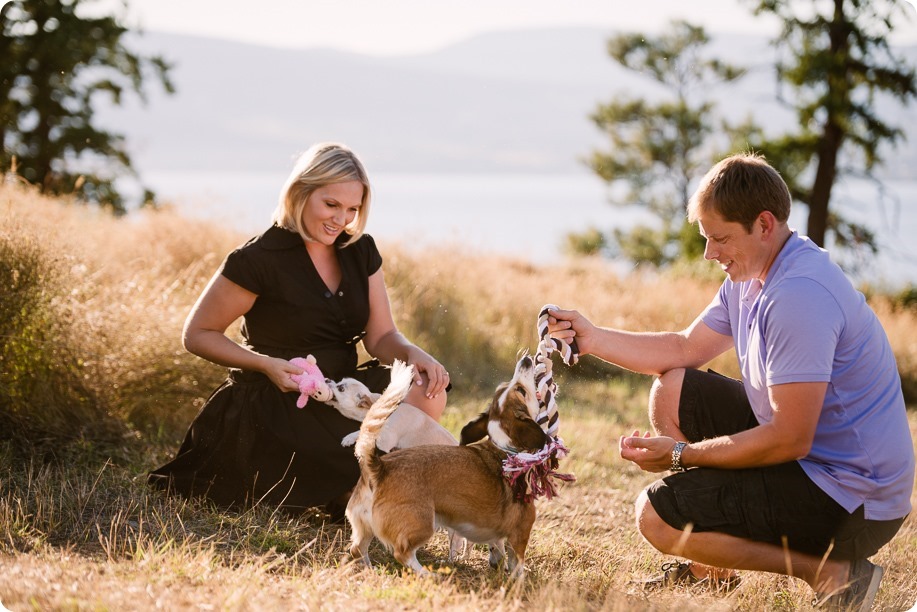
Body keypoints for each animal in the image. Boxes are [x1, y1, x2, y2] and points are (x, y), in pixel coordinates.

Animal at [342, 354, 544, 580]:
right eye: (521, 390)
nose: (526, 360)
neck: (505, 446)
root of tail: (379, 467)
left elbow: (496, 546)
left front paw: (496, 564)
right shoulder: (521, 531)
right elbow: (517, 562)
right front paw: (518, 580)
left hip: (364, 527)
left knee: (357, 549)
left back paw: (370, 571)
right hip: (422, 524)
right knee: (402, 553)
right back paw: (429, 574)